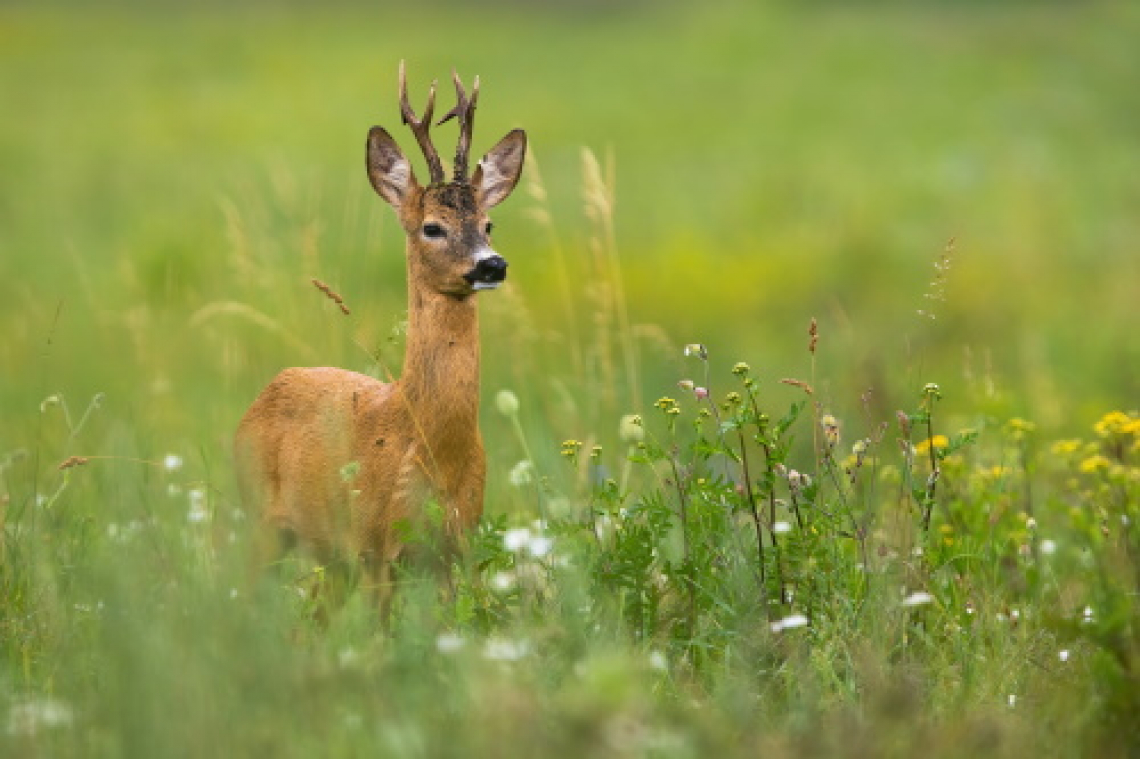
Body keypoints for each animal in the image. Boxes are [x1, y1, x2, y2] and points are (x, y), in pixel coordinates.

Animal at [237, 63, 528, 610]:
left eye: (489, 223)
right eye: (432, 227)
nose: (492, 264)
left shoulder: (454, 550)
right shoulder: (373, 547)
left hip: (328, 557)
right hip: (258, 519)